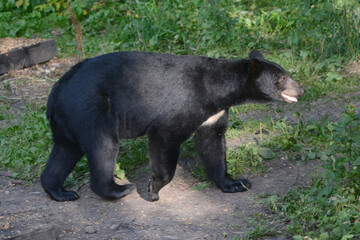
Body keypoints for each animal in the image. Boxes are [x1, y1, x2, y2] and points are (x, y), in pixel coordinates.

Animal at [40, 49, 304, 202]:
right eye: (281, 78)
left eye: (287, 73)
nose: (300, 89)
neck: (218, 89)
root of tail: (56, 91)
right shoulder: (187, 102)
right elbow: (165, 134)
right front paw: (154, 189)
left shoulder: (213, 114)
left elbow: (212, 144)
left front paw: (236, 183)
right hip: (93, 109)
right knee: (104, 146)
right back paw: (118, 189)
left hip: (69, 119)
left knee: (65, 150)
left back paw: (60, 191)